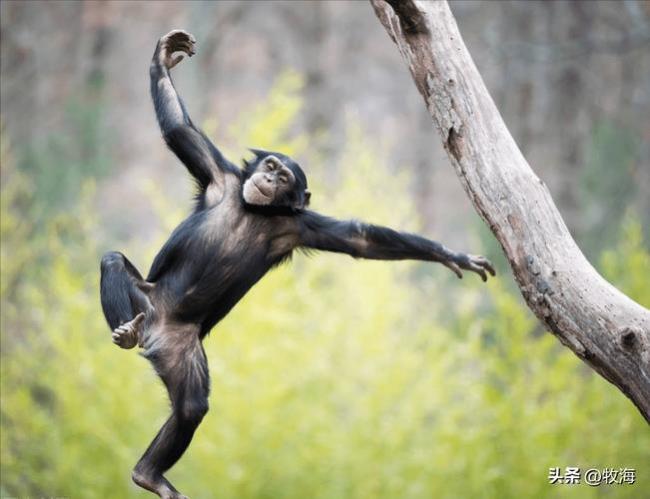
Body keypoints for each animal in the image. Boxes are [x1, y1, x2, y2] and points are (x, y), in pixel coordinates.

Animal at [100, 29, 492, 498]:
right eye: (270, 164)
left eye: (284, 177)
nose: (269, 176)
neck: (254, 209)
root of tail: (154, 335)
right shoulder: (218, 175)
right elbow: (178, 129)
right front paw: (164, 56)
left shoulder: (297, 227)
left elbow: (360, 238)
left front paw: (452, 256)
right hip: (147, 304)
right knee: (112, 262)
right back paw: (124, 333)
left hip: (182, 349)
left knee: (192, 406)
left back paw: (149, 474)